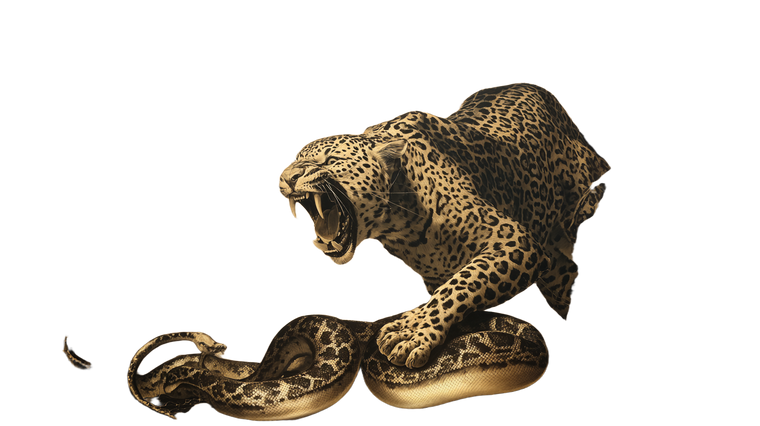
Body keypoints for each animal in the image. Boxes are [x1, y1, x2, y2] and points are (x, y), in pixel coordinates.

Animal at [276, 80, 612, 370]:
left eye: (329, 160)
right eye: (293, 160)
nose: (286, 177)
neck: (398, 216)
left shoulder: (512, 239)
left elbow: (462, 284)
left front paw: (411, 332)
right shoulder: (435, 275)